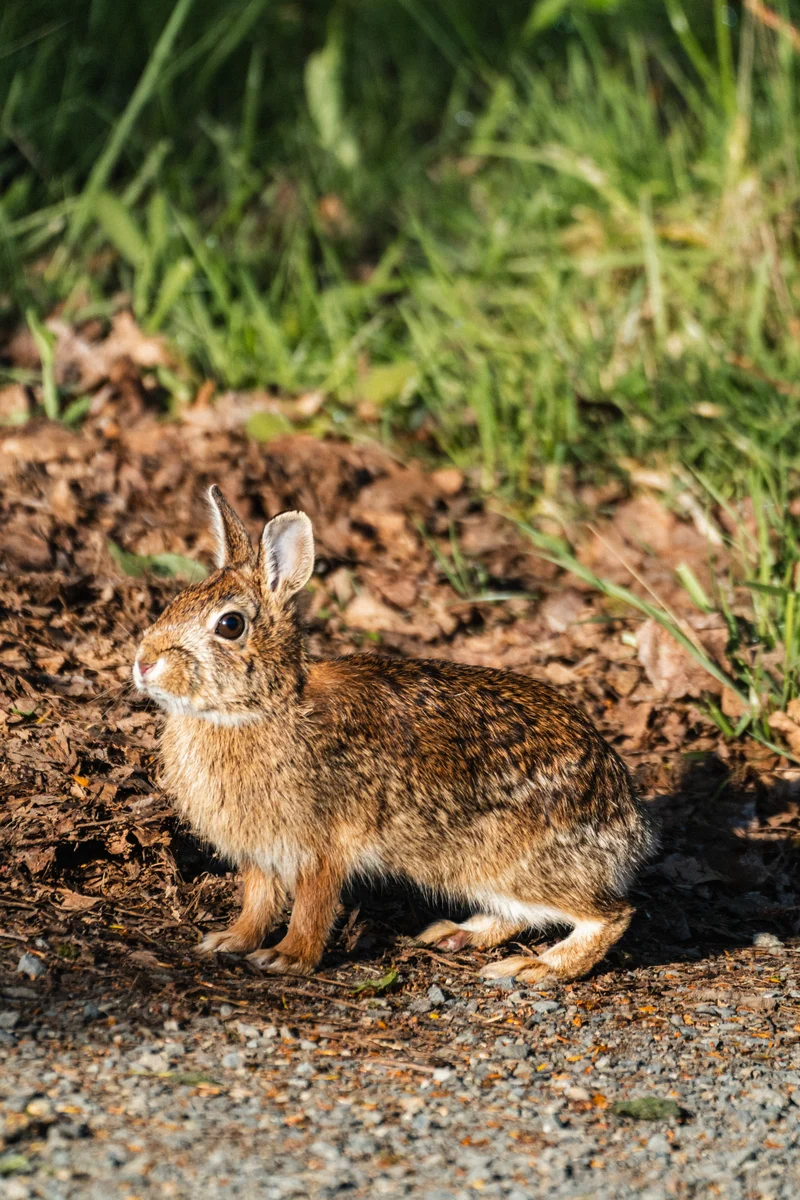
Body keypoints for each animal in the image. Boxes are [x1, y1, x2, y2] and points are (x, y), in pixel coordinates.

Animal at [132, 486, 659, 983]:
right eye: (175, 602)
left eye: (230, 624)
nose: (143, 663)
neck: (261, 707)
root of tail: (627, 824)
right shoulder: (261, 853)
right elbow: (257, 903)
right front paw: (229, 942)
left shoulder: (322, 846)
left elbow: (311, 907)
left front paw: (288, 958)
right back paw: (457, 934)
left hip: (509, 862)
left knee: (611, 914)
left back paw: (540, 968)